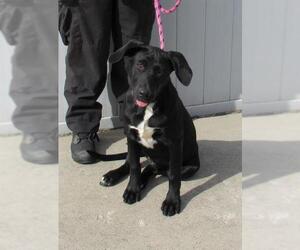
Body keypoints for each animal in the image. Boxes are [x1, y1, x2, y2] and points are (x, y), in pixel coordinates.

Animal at [99, 40, 200, 216]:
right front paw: (132, 190)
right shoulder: (131, 137)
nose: (143, 93)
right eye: (140, 65)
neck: (147, 108)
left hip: (189, 167)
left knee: (156, 169)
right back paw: (112, 176)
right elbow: (134, 166)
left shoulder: (174, 144)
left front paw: (172, 201)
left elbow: (174, 176)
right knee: (132, 164)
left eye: (160, 72)